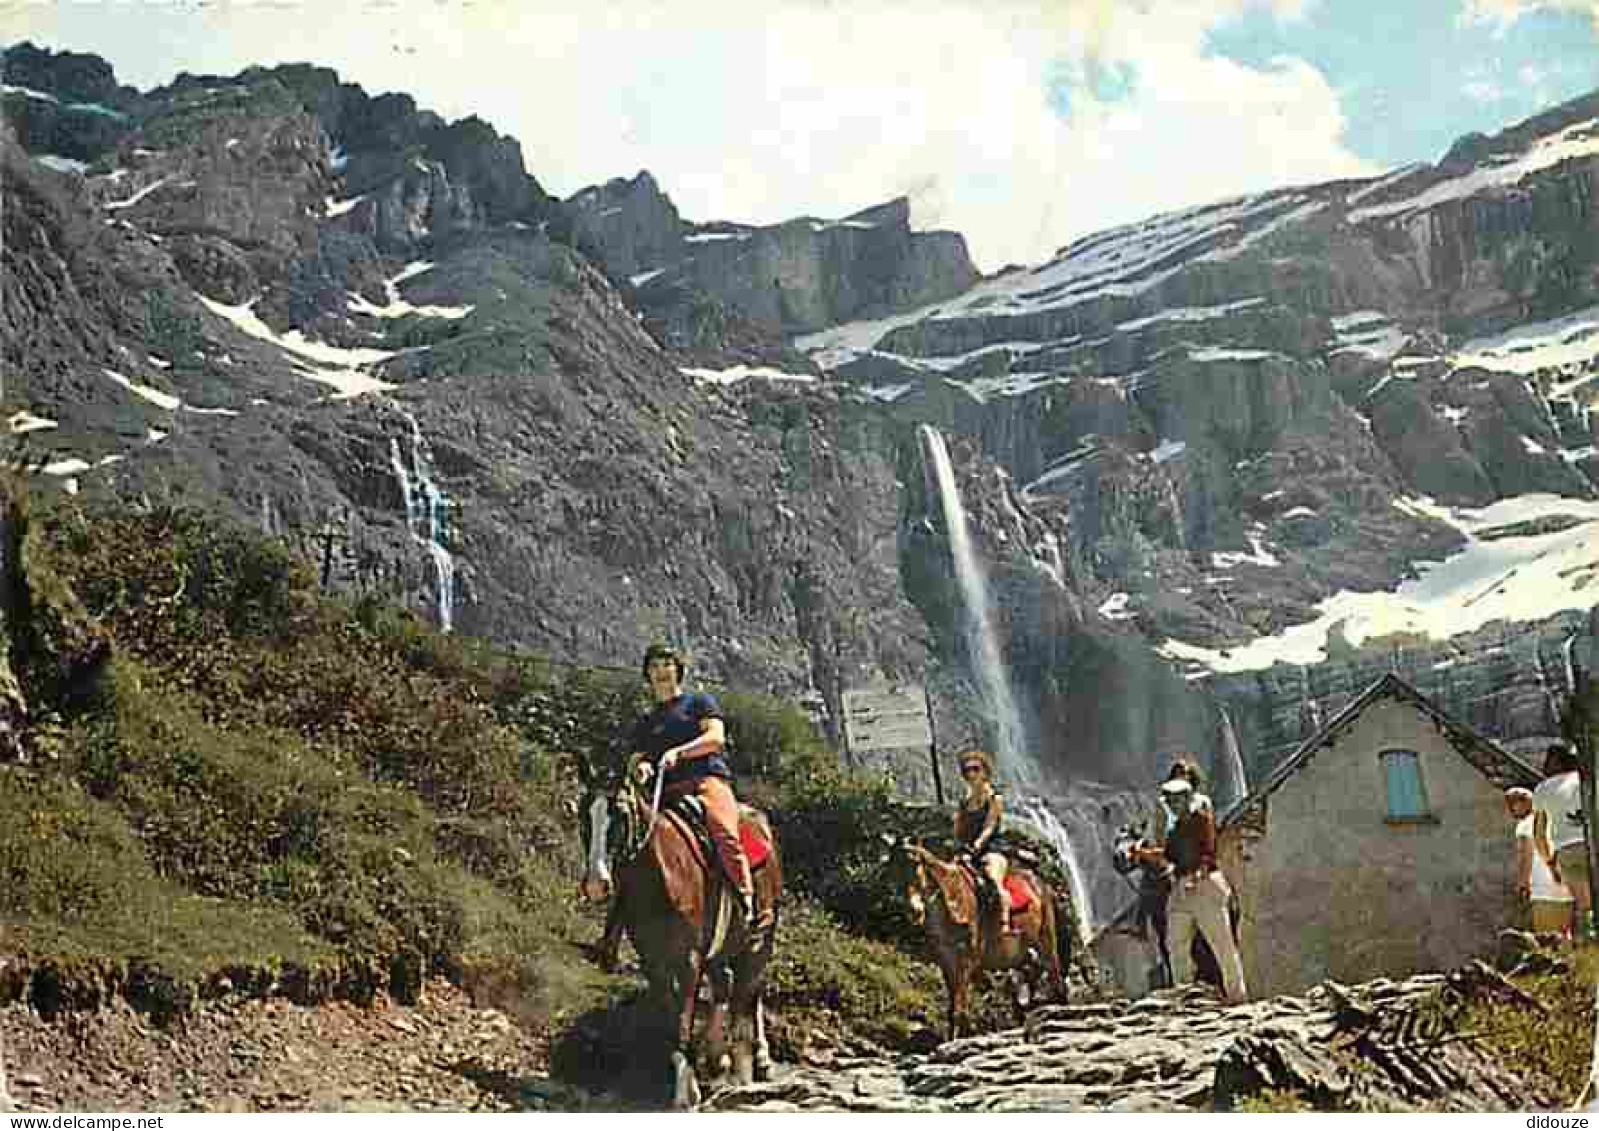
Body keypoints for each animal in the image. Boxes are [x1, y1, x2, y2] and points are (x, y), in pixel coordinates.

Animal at [578, 761, 783, 1113]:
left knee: (749, 993)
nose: (596, 883)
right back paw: (717, 1057)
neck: (664, 875)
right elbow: (673, 1018)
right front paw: (690, 1082)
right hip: (721, 949)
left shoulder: (688, 959)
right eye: (583, 813)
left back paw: (755, 1060)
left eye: (620, 813)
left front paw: (686, 1095)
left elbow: (684, 1018)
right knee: (724, 988)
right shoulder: (654, 961)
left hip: (760, 938)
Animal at [901, 838, 1061, 1043]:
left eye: (916, 866)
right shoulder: (946, 962)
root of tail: (1042, 886)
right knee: (1030, 978)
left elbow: (959, 1008)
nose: (913, 912)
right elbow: (952, 1006)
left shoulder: (966, 961)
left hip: (1046, 942)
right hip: (1022, 955)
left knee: (1055, 977)